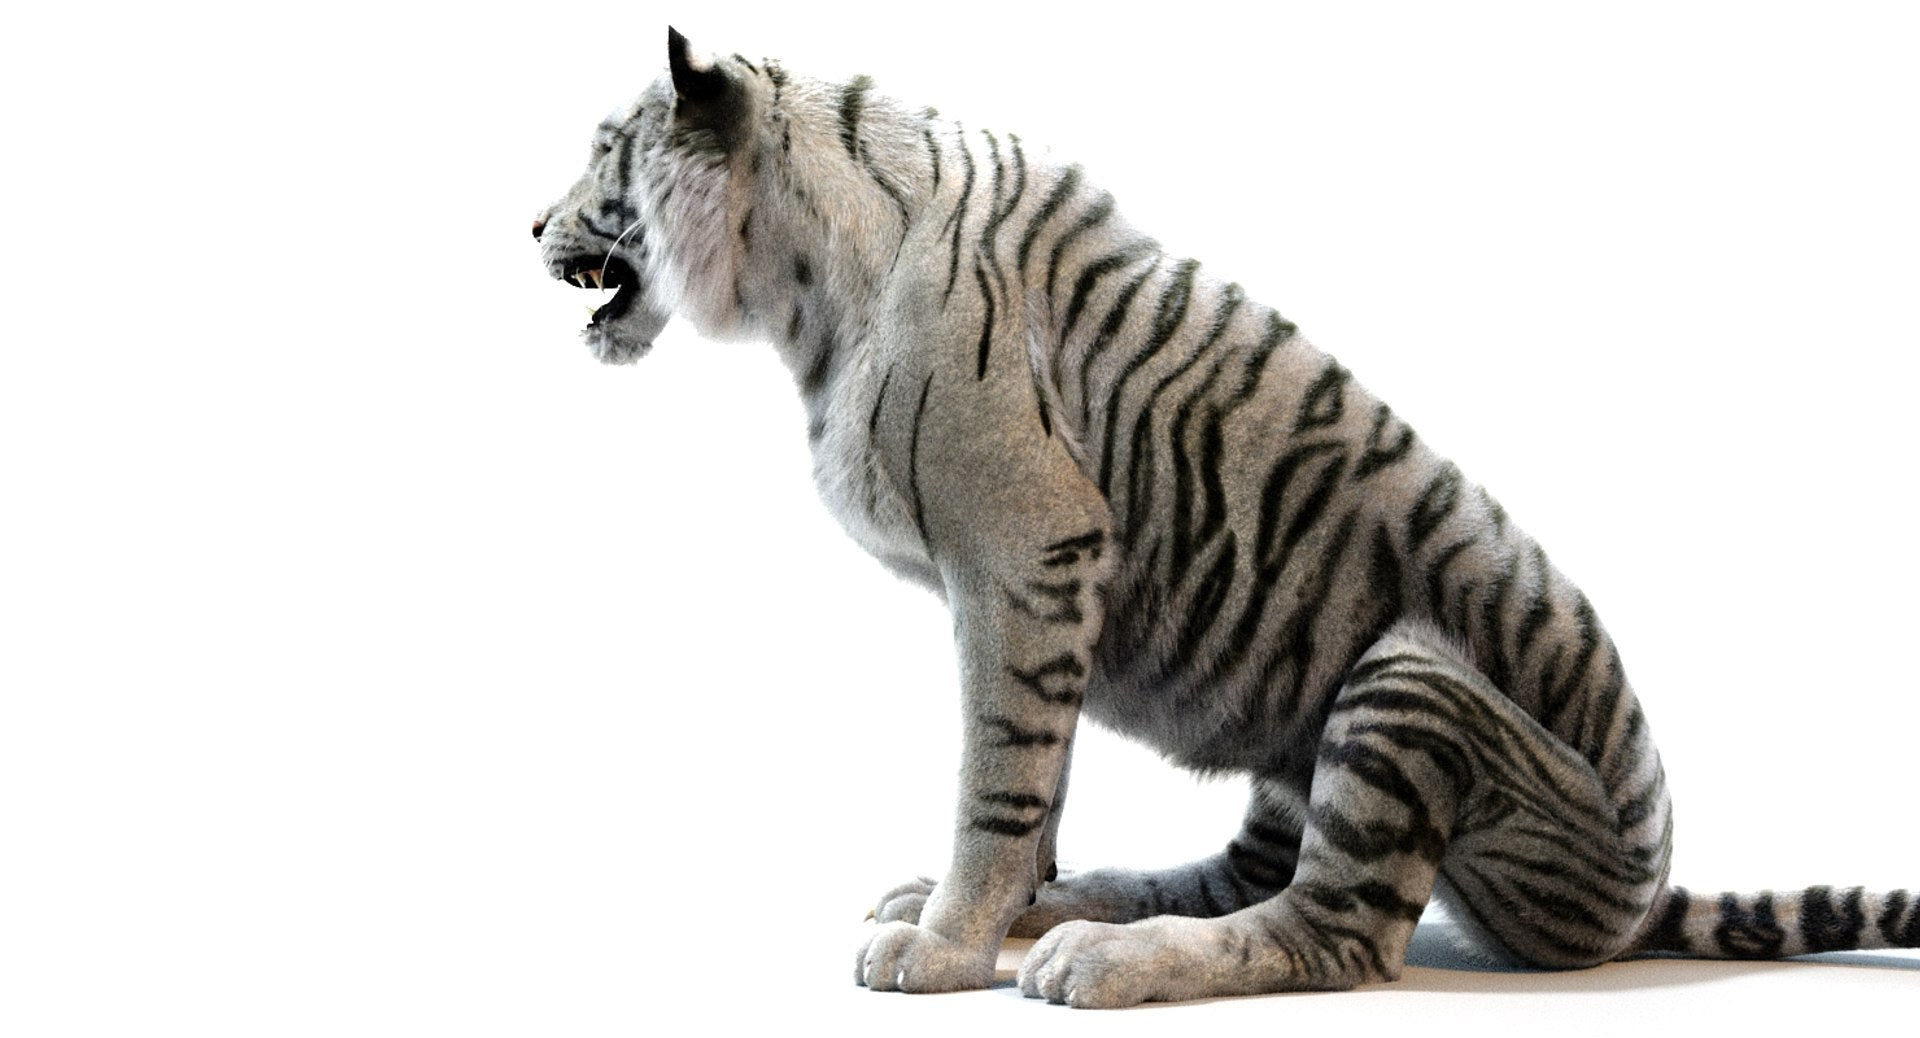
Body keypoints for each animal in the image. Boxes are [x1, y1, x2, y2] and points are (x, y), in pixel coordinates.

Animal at [531, 29, 1920, 1008]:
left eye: (604, 153)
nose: (531, 222)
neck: (797, 283)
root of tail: (1645, 887)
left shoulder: (1027, 556)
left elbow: (999, 772)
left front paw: (947, 945)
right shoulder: (1038, 593)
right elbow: (1040, 769)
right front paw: (988, 904)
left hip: (1409, 678)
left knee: (1339, 932)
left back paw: (1107, 961)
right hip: (1297, 734)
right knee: (1246, 873)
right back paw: (1092, 911)